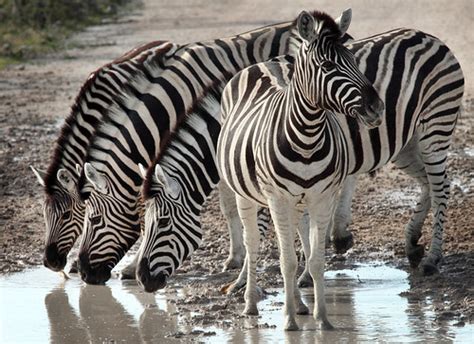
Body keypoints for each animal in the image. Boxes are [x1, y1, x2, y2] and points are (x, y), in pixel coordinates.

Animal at [218, 7, 462, 330]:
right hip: (407, 143)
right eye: (327, 65)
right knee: (427, 184)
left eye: (354, 61)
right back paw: (412, 243)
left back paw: (432, 258)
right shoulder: (279, 194)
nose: (377, 108)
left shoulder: (308, 192)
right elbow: (285, 247)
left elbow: (299, 246)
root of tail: (429, 37)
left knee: (440, 186)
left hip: (436, 123)